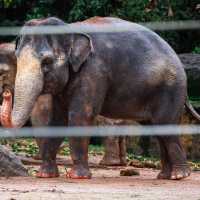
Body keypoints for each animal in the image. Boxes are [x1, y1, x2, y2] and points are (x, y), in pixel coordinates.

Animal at [1, 16, 200, 180]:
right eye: (17, 58)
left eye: (47, 62)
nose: (6, 92)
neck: (70, 29)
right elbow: (57, 120)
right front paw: (45, 175)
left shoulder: (94, 71)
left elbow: (80, 116)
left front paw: (77, 177)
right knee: (158, 130)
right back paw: (164, 176)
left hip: (170, 90)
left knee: (166, 127)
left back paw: (179, 175)